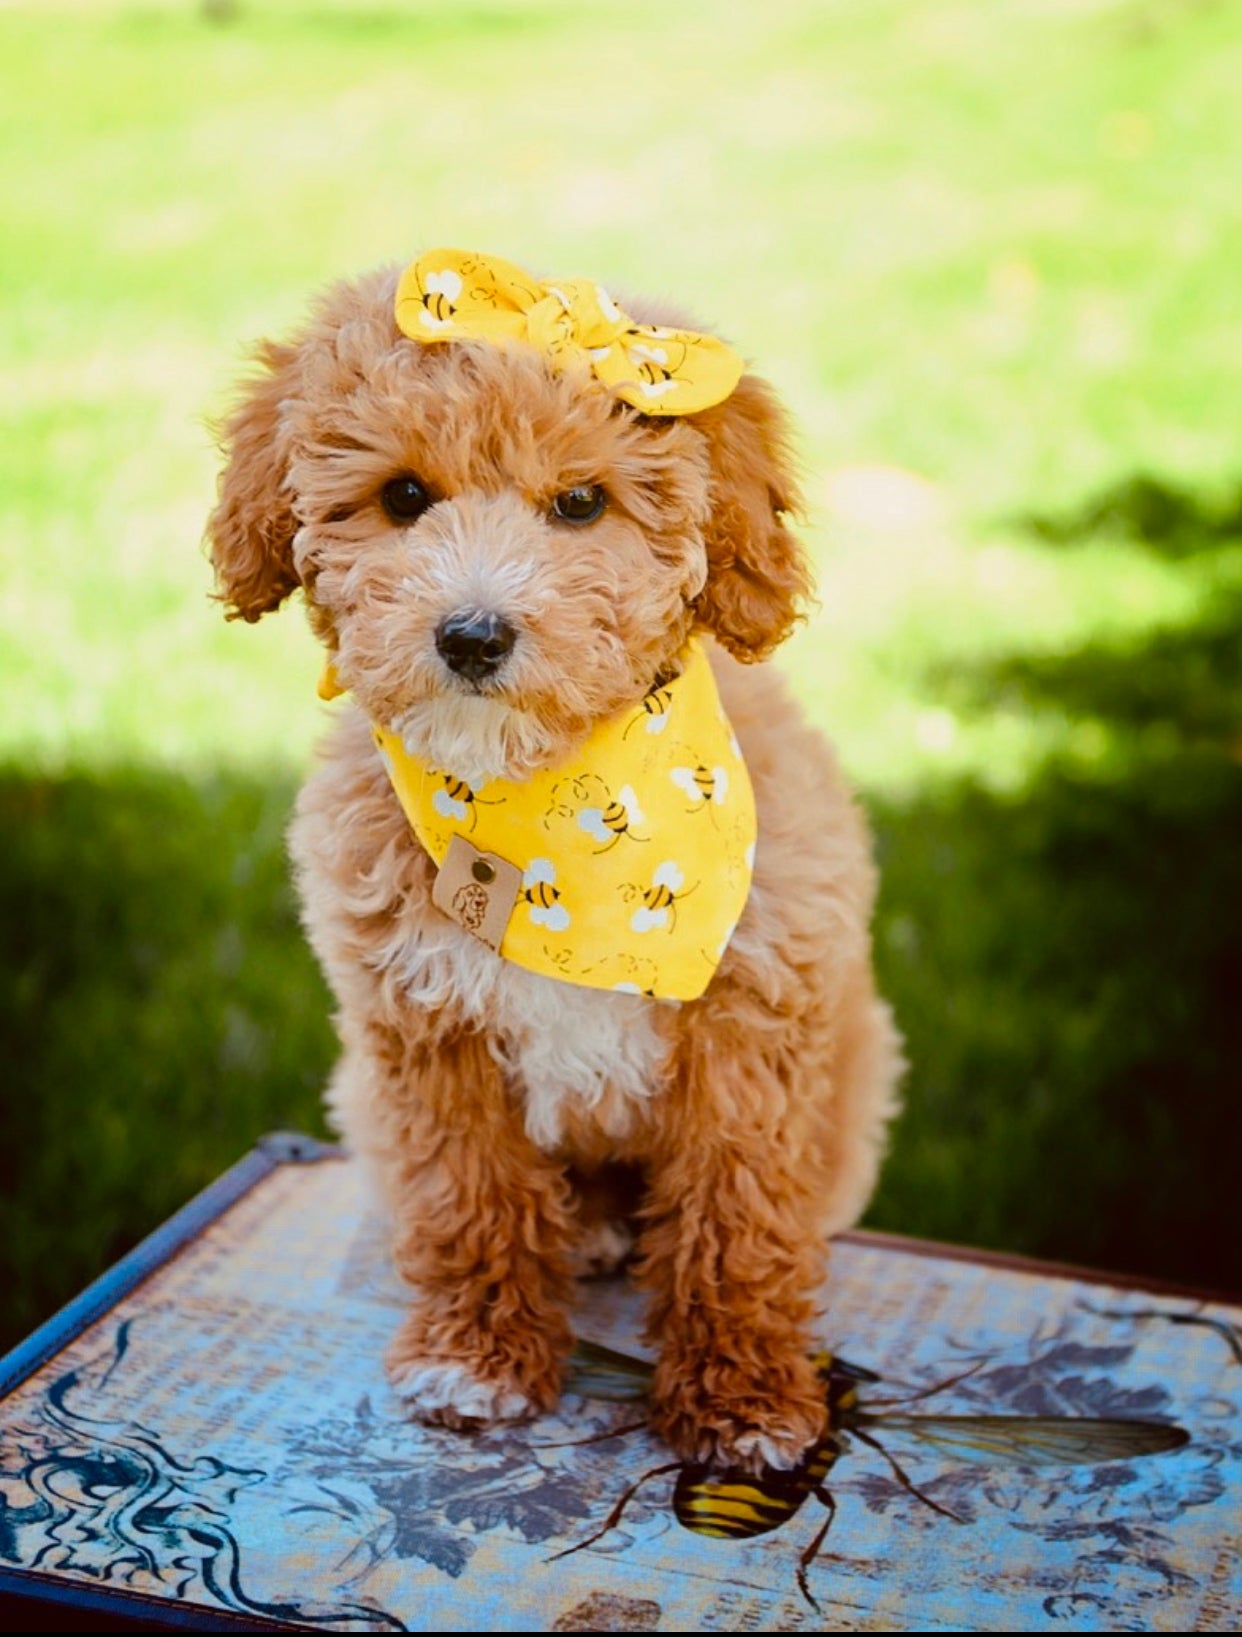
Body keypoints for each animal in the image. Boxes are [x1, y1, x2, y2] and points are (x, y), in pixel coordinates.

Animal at [206, 248, 903, 1479]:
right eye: (402, 497)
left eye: (582, 503)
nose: (473, 635)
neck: (555, 811)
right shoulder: (425, 1034)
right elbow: (469, 1198)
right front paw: (477, 1359)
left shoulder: (752, 1021)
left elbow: (737, 1217)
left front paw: (745, 1395)